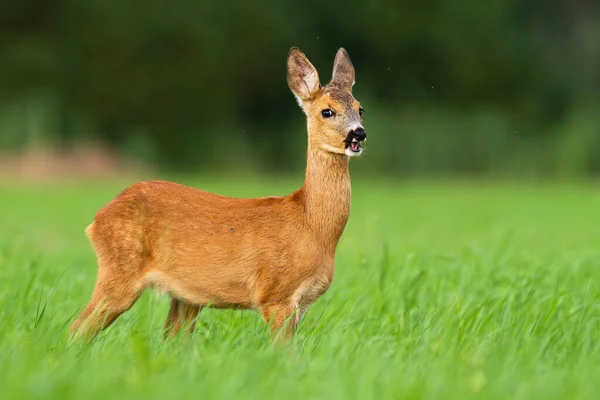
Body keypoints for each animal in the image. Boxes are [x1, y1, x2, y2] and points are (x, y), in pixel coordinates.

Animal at [72, 46, 368, 340]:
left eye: (360, 109)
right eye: (327, 111)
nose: (358, 134)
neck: (311, 225)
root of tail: (97, 219)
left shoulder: (300, 303)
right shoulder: (275, 294)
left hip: (183, 297)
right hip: (121, 271)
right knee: (78, 328)